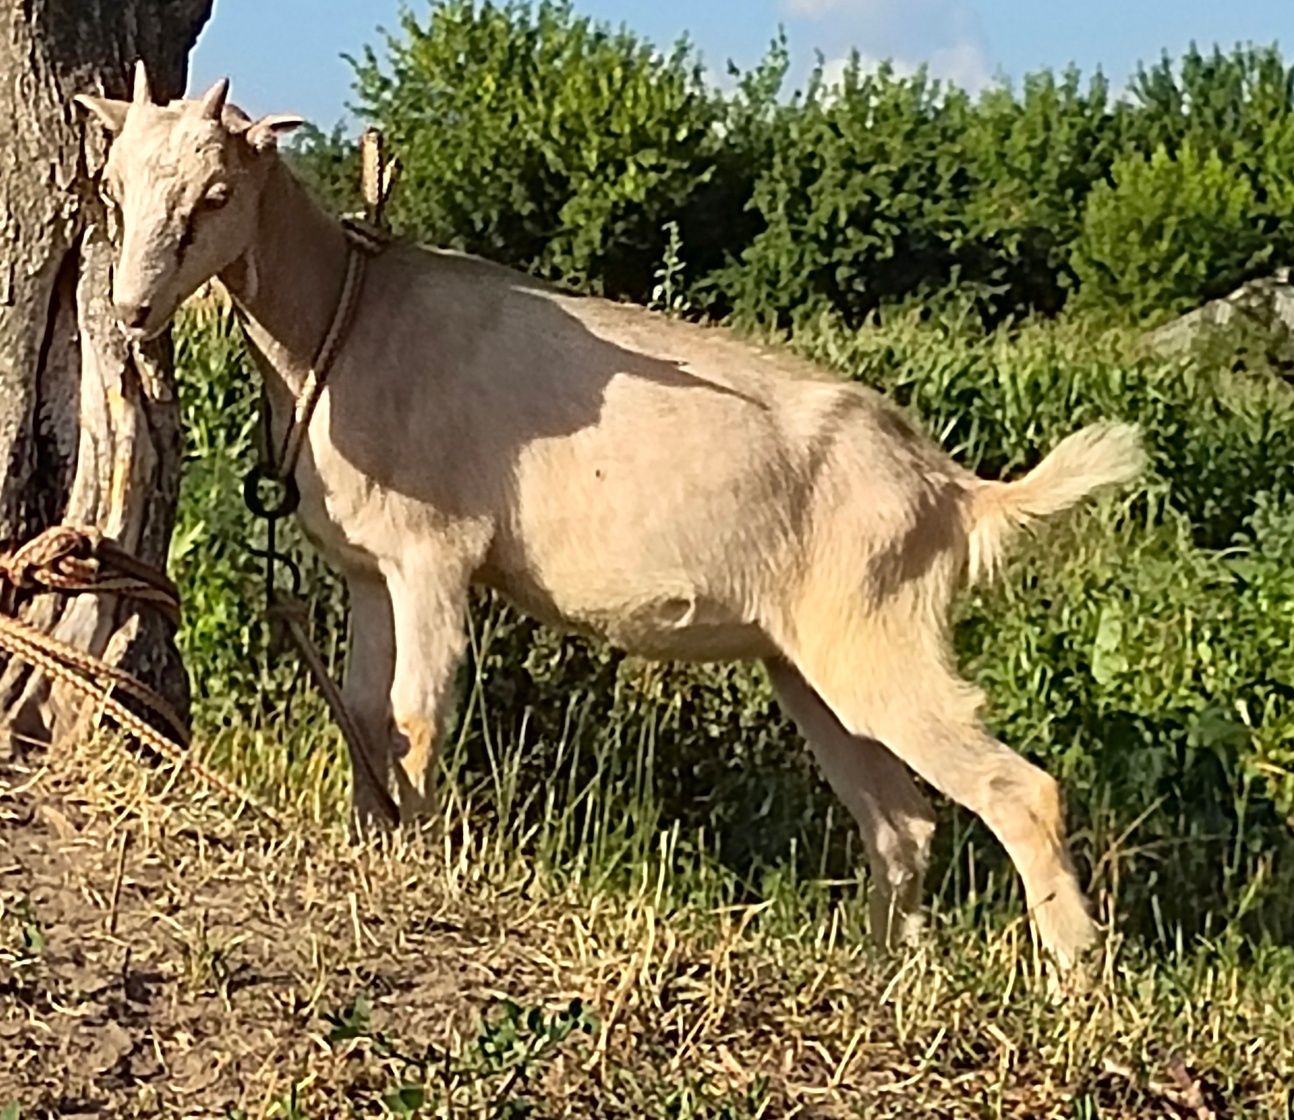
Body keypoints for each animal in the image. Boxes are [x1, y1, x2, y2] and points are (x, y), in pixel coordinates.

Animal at [73, 67, 1143, 967]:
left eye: (217, 195)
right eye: (115, 189)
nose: (132, 311)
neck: (346, 315)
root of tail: (954, 488)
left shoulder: (434, 556)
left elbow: (416, 718)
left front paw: (416, 857)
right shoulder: (371, 570)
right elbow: (369, 717)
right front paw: (373, 840)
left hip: (880, 638)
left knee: (1020, 790)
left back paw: (1073, 984)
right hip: (811, 663)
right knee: (902, 821)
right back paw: (892, 975)